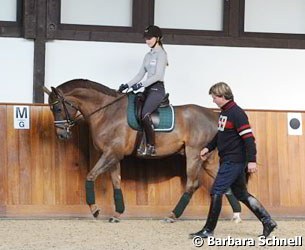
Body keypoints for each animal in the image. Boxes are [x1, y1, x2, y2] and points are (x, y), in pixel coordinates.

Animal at [43, 78, 218, 223]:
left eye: (58, 109)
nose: (61, 135)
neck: (106, 112)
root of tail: (213, 117)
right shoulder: (113, 156)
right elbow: (116, 182)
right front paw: (117, 214)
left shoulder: (111, 152)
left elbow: (90, 176)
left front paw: (95, 210)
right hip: (207, 159)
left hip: (194, 155)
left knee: (192, 184)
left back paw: (172, 215)